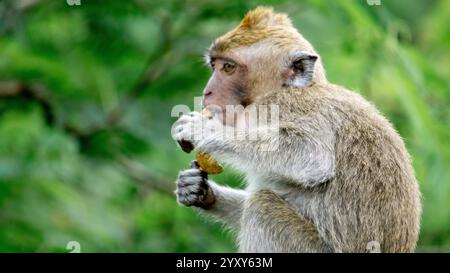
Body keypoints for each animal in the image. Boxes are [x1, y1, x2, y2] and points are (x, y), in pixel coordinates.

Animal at [171, 6, 422, 252]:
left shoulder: (280, 107)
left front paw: (203, 129)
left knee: (262, 207)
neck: (290, 88)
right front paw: (197, 190)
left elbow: (313, 158)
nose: (207, 92)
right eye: (214, 65)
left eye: (229, 67)